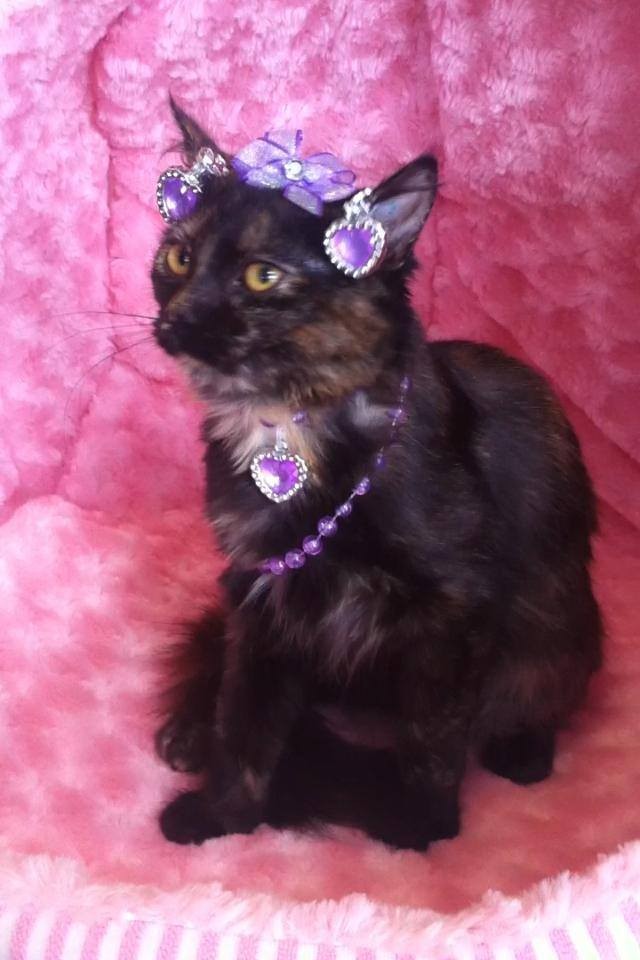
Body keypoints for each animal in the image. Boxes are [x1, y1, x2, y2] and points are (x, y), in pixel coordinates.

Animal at [152, 101, 602, 851]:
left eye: (262, 277)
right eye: (179, 258)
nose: (177, 320)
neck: (289, 428)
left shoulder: (453, 612)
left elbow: (432, 737)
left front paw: (421, 828)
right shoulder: (261, 592)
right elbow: (246, 719)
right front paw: (224, 816)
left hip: (557, 626)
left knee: (537, 693)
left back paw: (523, 751)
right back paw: (187, 734)